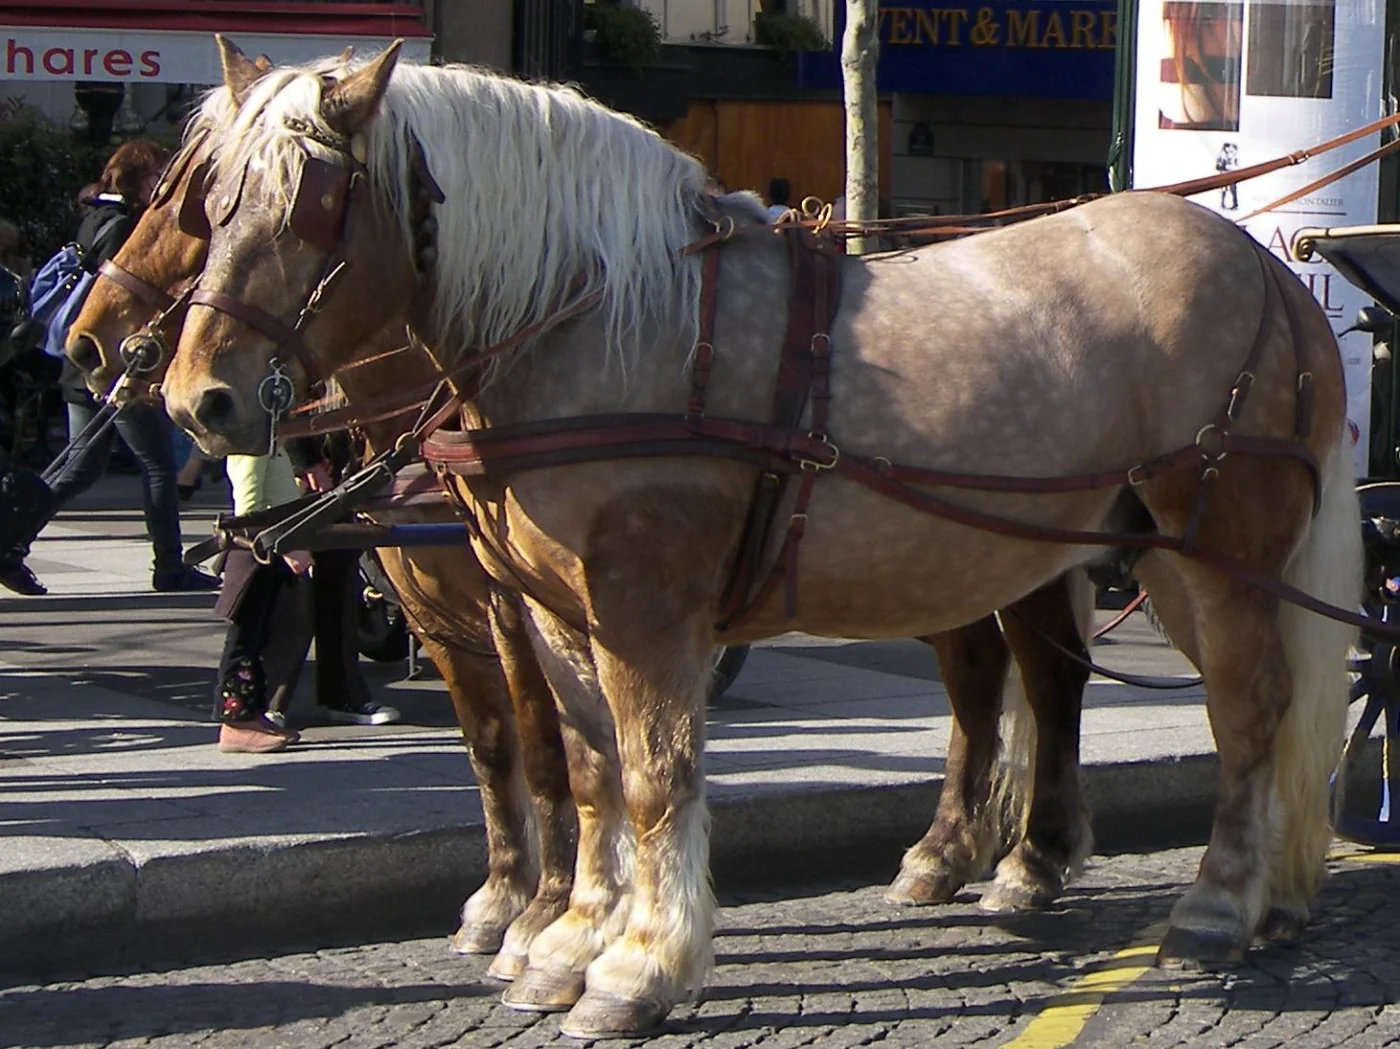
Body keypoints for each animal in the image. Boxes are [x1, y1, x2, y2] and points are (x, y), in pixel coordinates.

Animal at [162, 43, 1363, 1039]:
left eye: (317, 207)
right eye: (212, 206)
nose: (195, 398)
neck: (600, 319)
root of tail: (1267, 266)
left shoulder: (644, 606)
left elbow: (653, 776)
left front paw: (639, 967)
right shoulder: (553, 609)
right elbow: (589, 772)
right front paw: (566, 939)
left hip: (1209, 551)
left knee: (1245, 709)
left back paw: (1216, 904)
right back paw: (1218, 887)